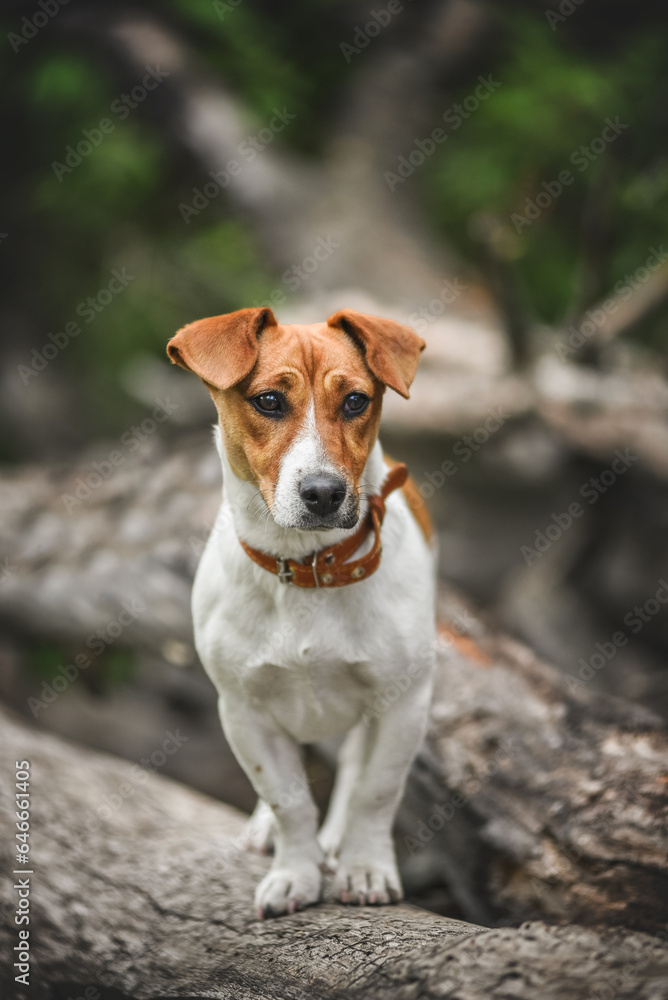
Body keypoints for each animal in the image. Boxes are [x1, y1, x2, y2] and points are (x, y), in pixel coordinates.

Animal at [170, 308, 436, 916]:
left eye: (356, 401)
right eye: (269, 400)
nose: (324, 493)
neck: (309, 569)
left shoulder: (403, 702)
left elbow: (374, 792)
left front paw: (364, 868)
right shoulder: (243, 710)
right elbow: (287, 798)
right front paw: (295, 872)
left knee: (354, 770)